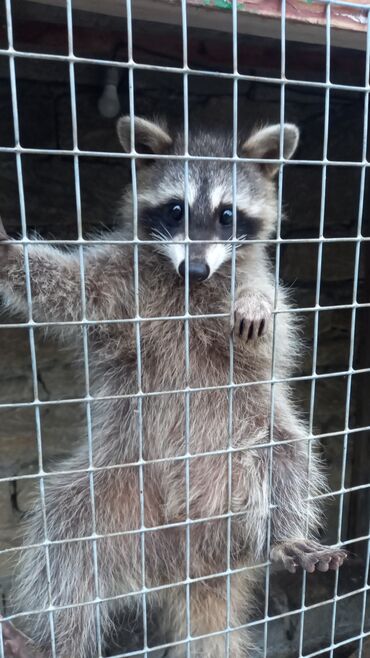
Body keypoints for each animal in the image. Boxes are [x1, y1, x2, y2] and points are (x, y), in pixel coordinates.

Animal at [0, 118, 346, 656]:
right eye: (176, 209)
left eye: (227, 215)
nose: (197, 269)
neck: (187, 284)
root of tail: (192, 557)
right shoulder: (120, 281)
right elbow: (69, 288)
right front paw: (14, 256)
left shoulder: (254, 285)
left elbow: (276, 322)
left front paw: (254, 302)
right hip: (121, 482)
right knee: (66, 542)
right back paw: (53, 639)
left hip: (248, 439)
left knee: (288, 457)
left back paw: (283, 534)